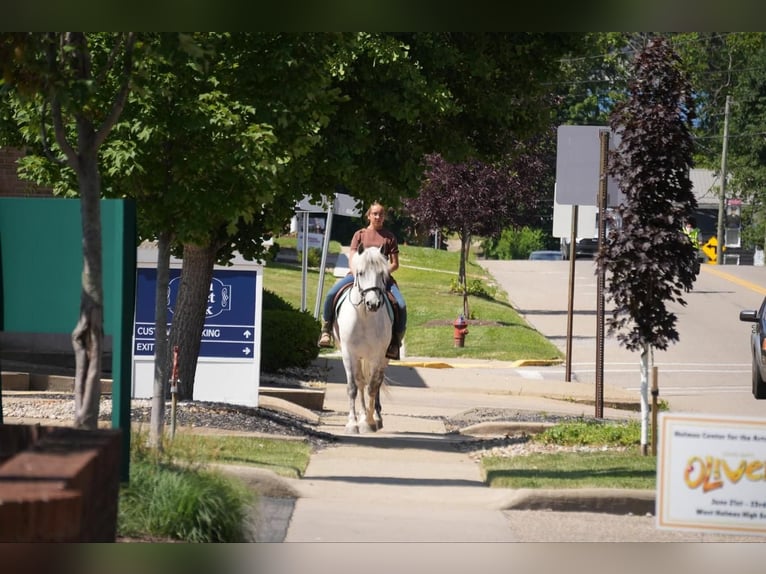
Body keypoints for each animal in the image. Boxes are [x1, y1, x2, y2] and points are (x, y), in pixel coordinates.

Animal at [336, 244, 396, 436]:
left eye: (382, 273)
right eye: (361, 272)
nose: (373, 304)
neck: (364, 316)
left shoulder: (377, 356)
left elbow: (372, 387)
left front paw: (369, 422)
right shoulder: (348, 354)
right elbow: (353, 388)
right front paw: (352, 423)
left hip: (382, 359)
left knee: (375, 383)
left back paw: (375, 417)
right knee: (361, 382)